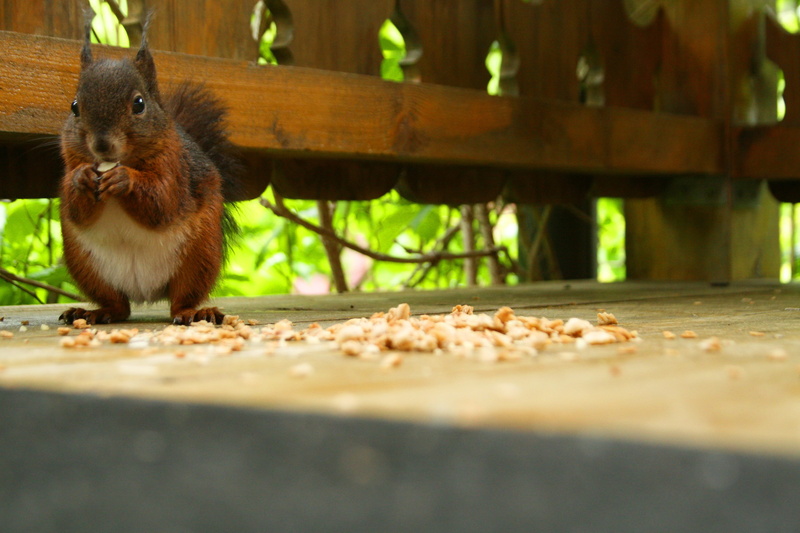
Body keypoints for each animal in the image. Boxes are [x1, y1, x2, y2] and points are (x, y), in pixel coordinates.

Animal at [59, 17, 241, 325]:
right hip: (85, 266)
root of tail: (145, 292)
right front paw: (81, 179)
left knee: (181, 299)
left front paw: (125, 180)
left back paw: (194, 312)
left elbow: (163, 203)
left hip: (200, 255)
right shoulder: (69, 163)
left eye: (139, 103)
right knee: (119, 306)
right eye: (74, 107)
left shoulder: (176, 169)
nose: (102, 144)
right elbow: (75, 210)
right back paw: (94, 311)